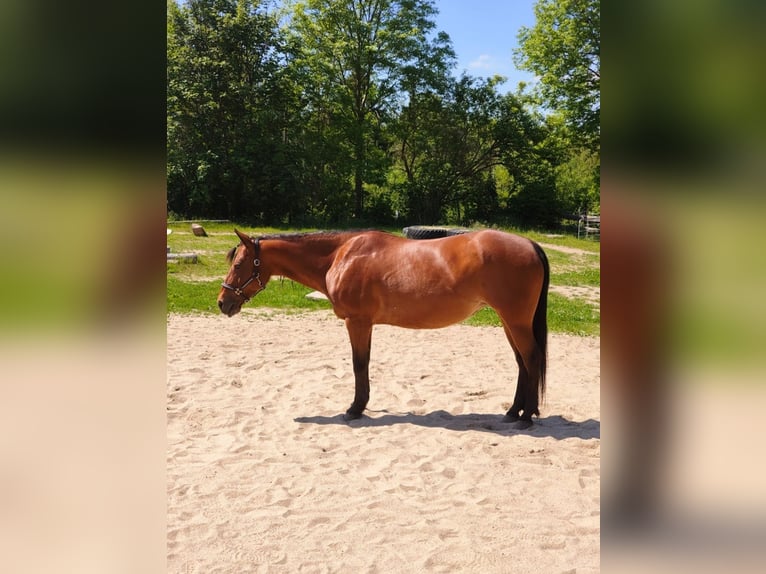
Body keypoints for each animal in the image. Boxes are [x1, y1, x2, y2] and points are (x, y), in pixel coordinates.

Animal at [218, 229, 549, 428]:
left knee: (531, 359)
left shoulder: (357, 322)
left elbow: (359, 364)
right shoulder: (365, 324)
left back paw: (526, 416)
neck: (340, 256)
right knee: (521, 362)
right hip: (508, 322)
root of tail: (530, 245)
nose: (223, 302)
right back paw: (513, 411)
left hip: (515, 321)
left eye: (238, 265)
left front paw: (355, 408)